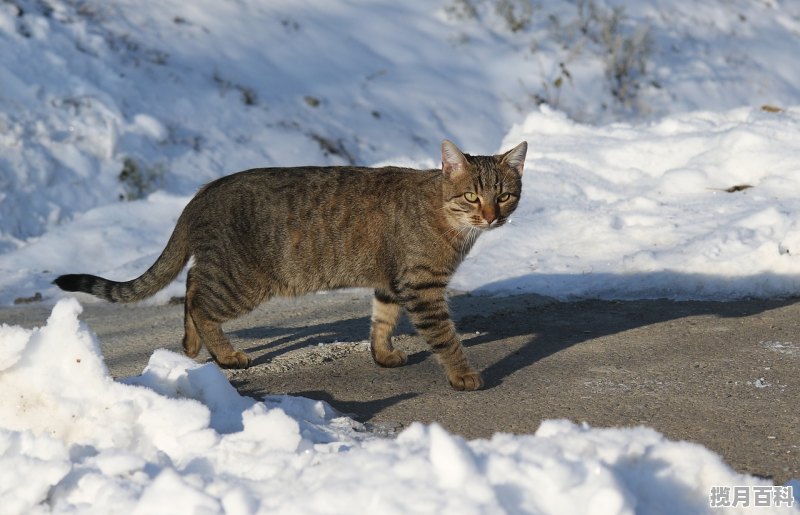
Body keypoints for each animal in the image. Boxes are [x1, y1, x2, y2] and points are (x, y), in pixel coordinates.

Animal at [51, 139, 524, 390]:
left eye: (504, 195)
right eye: (472, 196)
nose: (492, 216)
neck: (446, 217)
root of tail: (203, 191)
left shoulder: (391, 283)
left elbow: (381, 321)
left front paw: (382, 354)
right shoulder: (421, 287)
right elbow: (446, 338)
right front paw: (464, 375)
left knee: (190, 285)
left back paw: (189, 346)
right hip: (242, 281)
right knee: (199, 299)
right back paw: (225, 355)